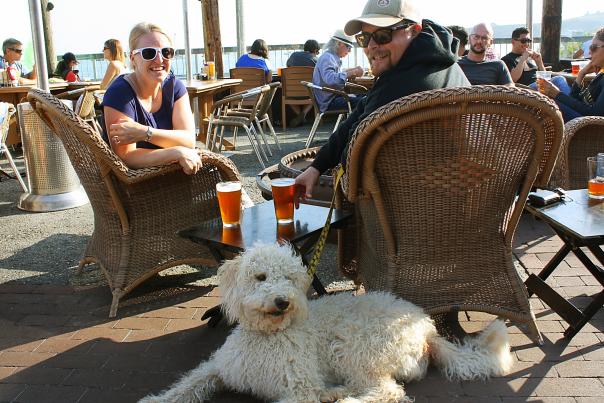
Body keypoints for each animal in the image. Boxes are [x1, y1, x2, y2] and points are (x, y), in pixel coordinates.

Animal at [140, 243, 510, 403]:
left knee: (389, 392)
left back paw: (344, 399)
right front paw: (156, 400)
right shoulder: (218, 368)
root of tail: (427, 329)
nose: (283, 301)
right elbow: (188, 384)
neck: (268, 336)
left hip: (354, 347)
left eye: (289, 278)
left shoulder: (298, 389)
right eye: (260, 277)